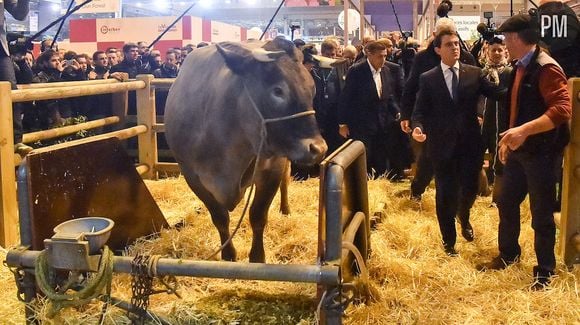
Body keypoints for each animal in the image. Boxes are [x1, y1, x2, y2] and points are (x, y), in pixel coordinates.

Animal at [164, 38, 326, 262]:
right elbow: (220, 218)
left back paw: (285, 209)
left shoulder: (272, 169)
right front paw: (228, 255)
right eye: (277, 91)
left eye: (312, 89)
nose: (318, 148)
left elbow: (258, 215)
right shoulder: (192, 177)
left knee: (285, 181)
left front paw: (257, 257)